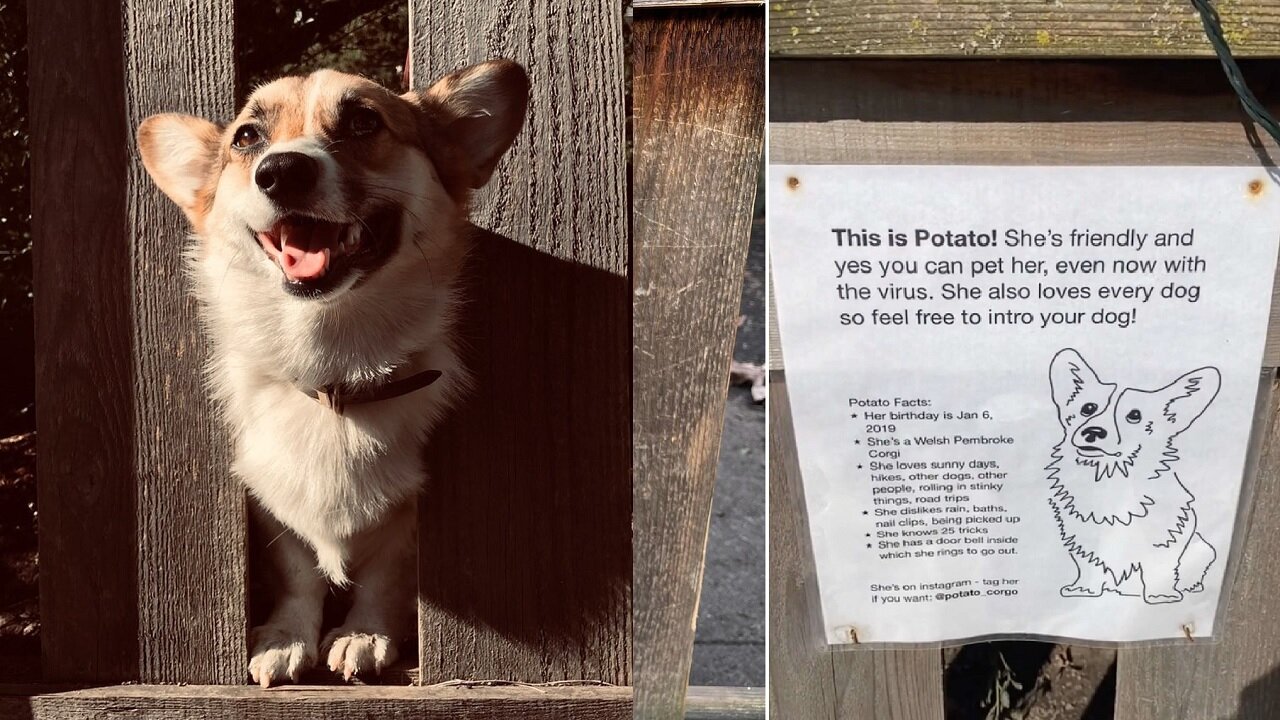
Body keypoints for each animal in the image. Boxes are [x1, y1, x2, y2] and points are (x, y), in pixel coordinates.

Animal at [141, 58, 535, 681]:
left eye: (362, 121)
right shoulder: (275, 508)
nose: (281, 172)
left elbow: (384, 575)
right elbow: (300, 571)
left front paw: (364, 634)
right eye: (246, 138)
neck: (333, 371)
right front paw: (285, 639)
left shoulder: (407, 521)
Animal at [1049, 345, 1218, 599]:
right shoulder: (1079, 534)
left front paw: (1161, 596)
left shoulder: (1170, 534)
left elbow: (1162, 564)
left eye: (1135, 415)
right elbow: (1088, 562)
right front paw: (1084, 589)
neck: (1111, 478)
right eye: (1088, 408)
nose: (1093, 432)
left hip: (1206, 549)